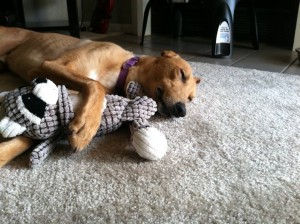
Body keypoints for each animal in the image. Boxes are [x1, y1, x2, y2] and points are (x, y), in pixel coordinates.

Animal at [0, 26, 202, 166]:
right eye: (182, 74)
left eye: (190, 99)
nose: (181, 110)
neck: (121, 68)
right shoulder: (51, 65)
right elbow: (96, 85)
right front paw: (85, 128)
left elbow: (27, 138)